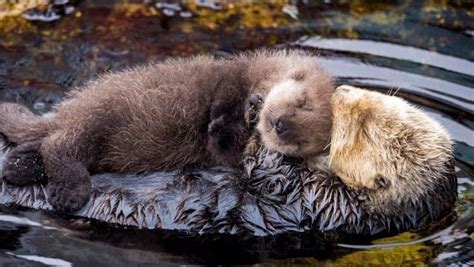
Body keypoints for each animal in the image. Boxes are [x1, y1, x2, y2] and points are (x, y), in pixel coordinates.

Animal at [0, 50, 336, 214]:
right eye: (302, 102)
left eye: (302, 142)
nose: (281, 126)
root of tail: (70, 109)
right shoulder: (232, 78)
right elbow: (223, 99)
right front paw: (237, 113)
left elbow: (226, 150)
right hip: (98, 117)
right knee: (59, 145)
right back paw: (68, 192)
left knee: (49, 144)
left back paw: (18, 165)